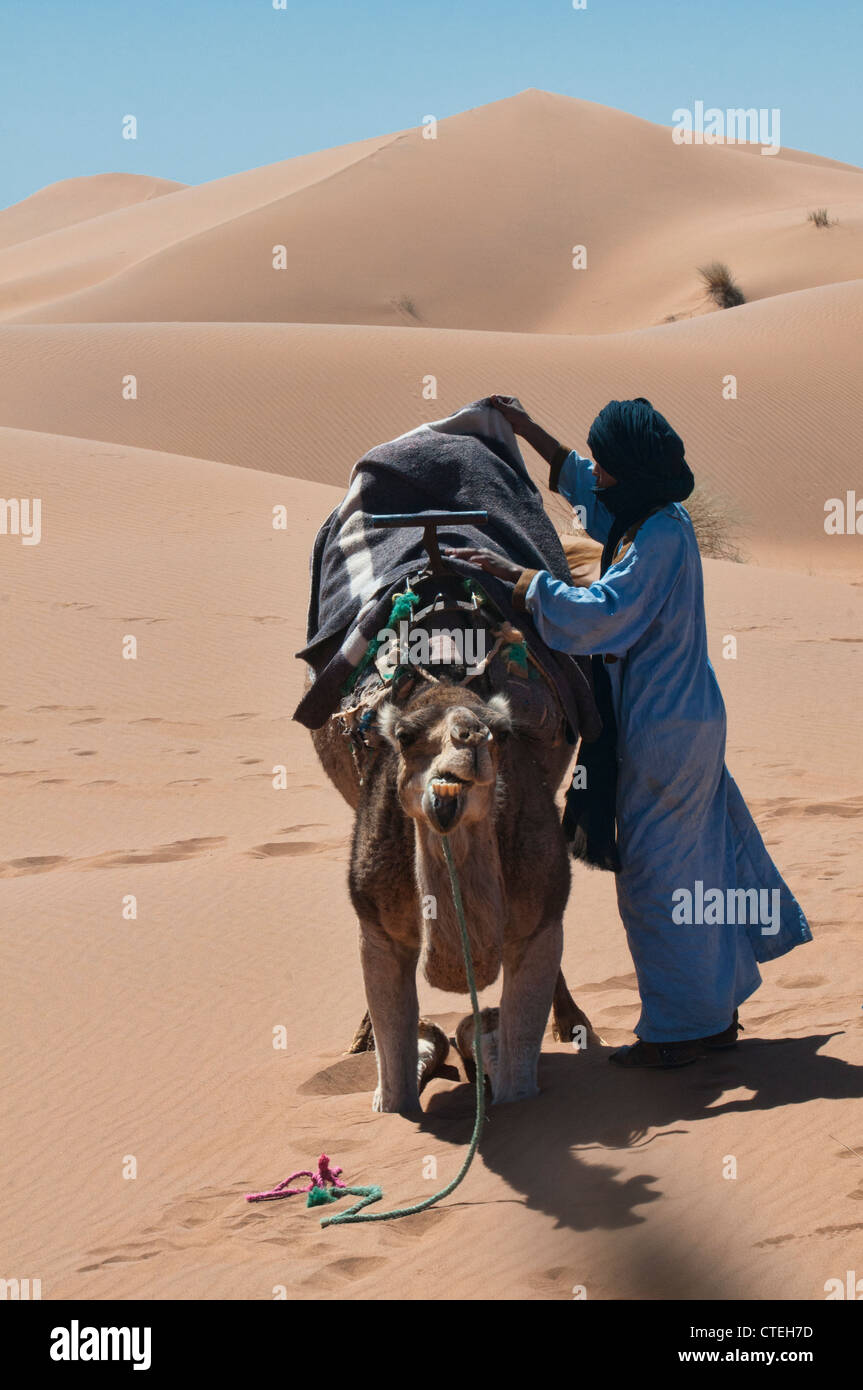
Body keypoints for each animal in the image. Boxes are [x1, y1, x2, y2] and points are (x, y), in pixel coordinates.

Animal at [305, 581, 594, 1112]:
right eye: (404, 735)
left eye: (500, 733)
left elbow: (517, 1083)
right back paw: (363, 1041)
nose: (469, 737)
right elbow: (395, 1096)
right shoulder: (377, 925)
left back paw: (572, 1026)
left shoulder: (540, 918)